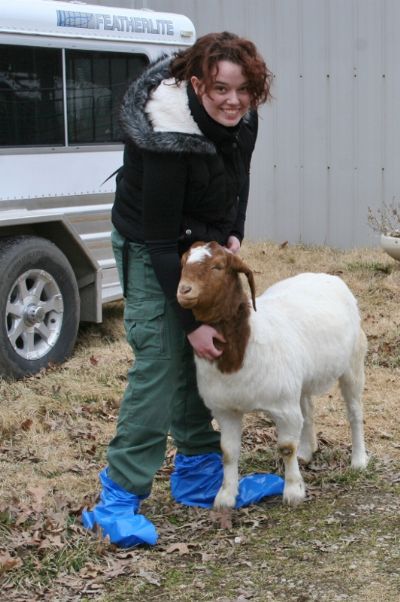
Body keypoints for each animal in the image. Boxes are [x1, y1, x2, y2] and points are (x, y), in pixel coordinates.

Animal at [178, 239, 368, 506]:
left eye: (218, 266)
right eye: (184, 262)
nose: (184, 290)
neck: (244, 346)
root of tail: (326, 276)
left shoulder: (283, 407)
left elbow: (286, 447)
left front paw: (293, 491)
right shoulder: (225, 410)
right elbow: (228, 452)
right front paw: (226, 496)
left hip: (352, 364)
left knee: (354, 412)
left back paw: (359, 460)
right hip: (300, 379)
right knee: (307, 411)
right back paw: (307, 451)